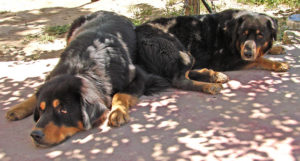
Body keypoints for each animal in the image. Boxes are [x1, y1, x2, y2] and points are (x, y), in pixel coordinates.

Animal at [5, 10, 169, 147]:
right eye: (41, 109)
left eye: (63, 109)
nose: (35, 134)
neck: (81, 66)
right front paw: (20, 107)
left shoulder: (139, 75)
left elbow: (120, 94)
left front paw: (117, 112)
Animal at [135, 8, 288, 94]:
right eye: (243, 34)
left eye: (260, 35)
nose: (247, 53)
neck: (230, 32)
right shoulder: (227, 60)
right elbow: (259, 59)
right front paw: (278, 64)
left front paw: (277, 48)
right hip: (181, 51)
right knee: (179, 79)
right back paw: (209, 85)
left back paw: (213, 75)